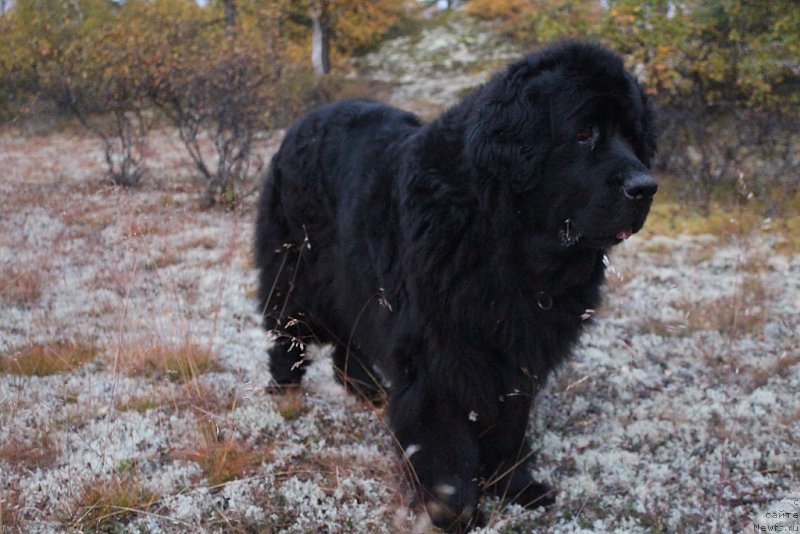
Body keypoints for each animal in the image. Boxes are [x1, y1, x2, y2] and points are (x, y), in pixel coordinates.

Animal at [256, 40, 656, 532]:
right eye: (584, 133)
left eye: (634, 137)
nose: (646, 187)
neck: (505, 240)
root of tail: (304, 121)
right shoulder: (436, 352)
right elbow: (443, 438)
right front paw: (451, 506)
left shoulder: (517, 349)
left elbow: (510, 422)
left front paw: (516, 486)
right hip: (296, 269)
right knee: (286, 329)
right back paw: (285, 393)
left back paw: (369, 391)